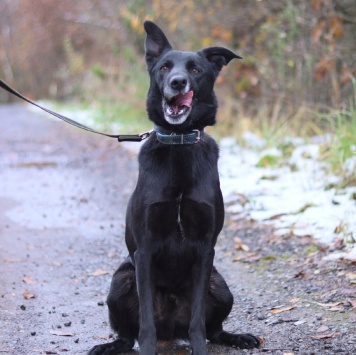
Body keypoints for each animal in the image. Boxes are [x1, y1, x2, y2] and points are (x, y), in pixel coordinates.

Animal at [90, 22, 260, 355]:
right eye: (164, 67)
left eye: (195, 69)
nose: (177, 83)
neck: (179, 143)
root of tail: (171, 328)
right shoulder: (144, 249)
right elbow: (146, 325)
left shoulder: (206, 249)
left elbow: (198, 323)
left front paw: (199, 348)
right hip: (121, 279)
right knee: (128, 335)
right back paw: (109, 346)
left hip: (221, 285)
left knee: (214, 329)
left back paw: (237, 337)